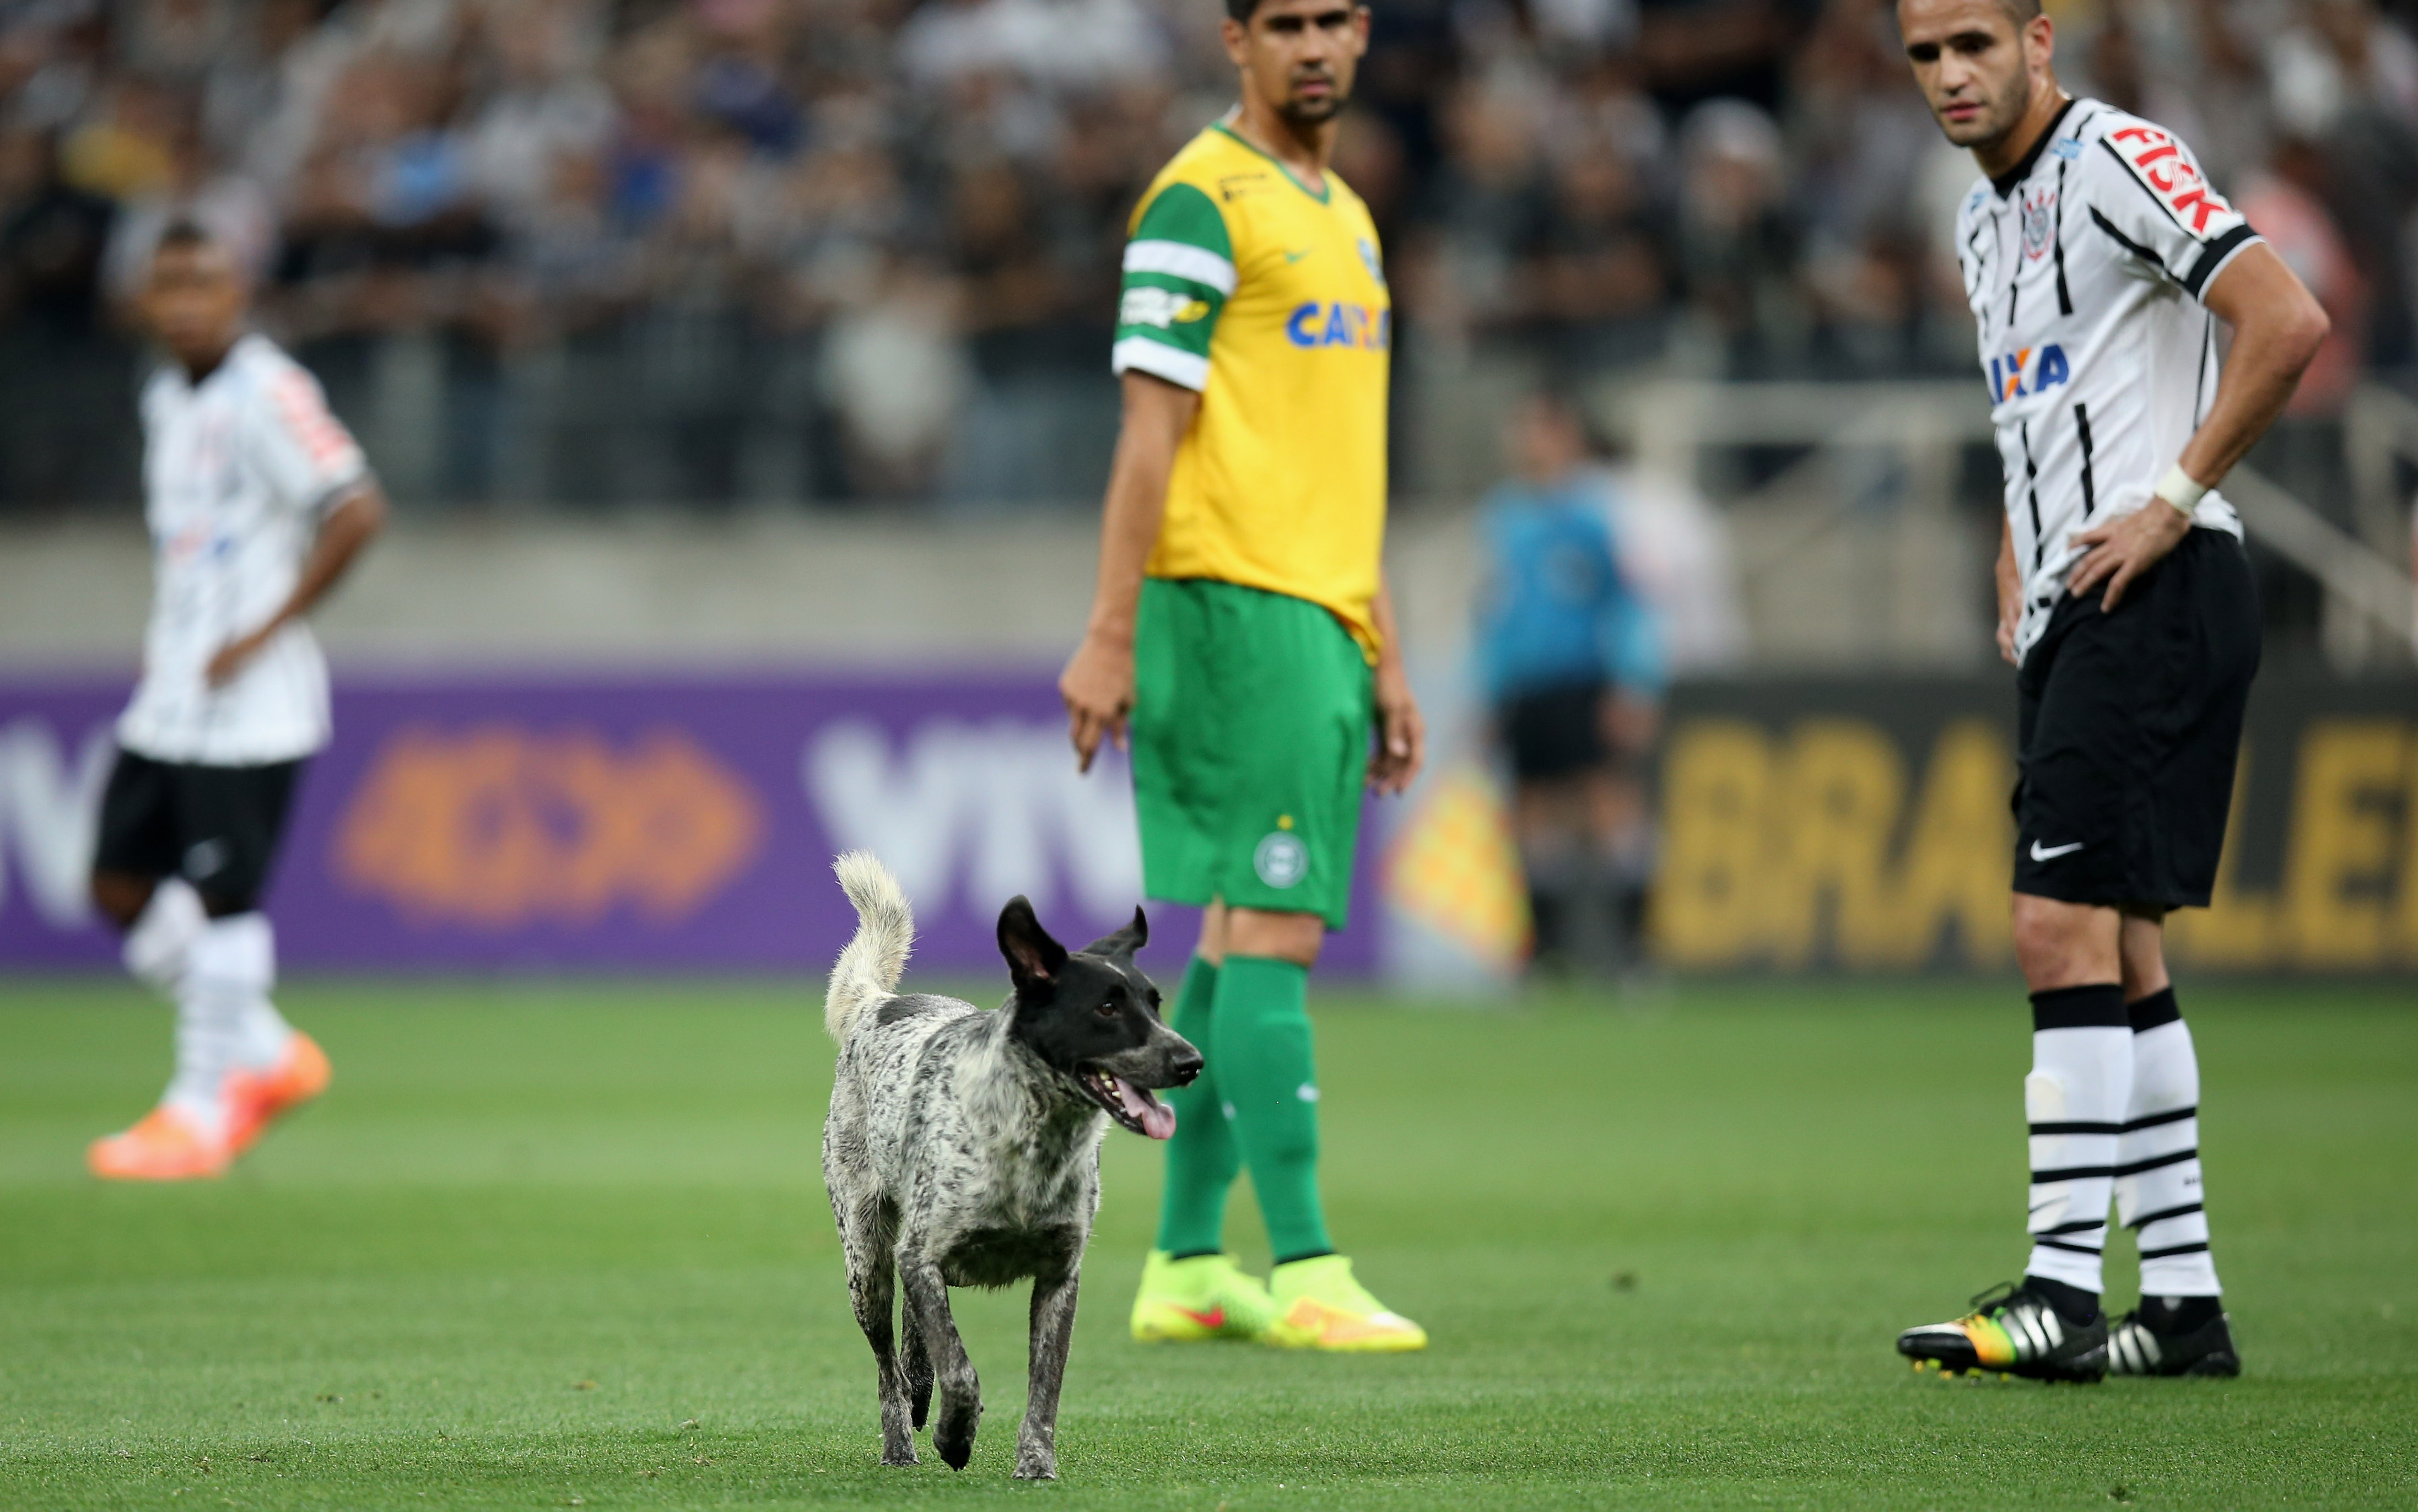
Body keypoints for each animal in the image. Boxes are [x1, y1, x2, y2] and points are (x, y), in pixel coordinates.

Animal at [822, 856, 1199, 1480]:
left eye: (1155, 1002)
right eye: (1106, 1006)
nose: (1191, 1060)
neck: (1035, 1142)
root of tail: (877, 1002)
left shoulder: (1060, 1275)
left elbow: (1044, 1384)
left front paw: (1036, 1465)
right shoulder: (923, 1252)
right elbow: (960, 1369)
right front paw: (955, 1435)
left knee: (915, 1335)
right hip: (865, 1260)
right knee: (886, 1365)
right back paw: (901, 1444)